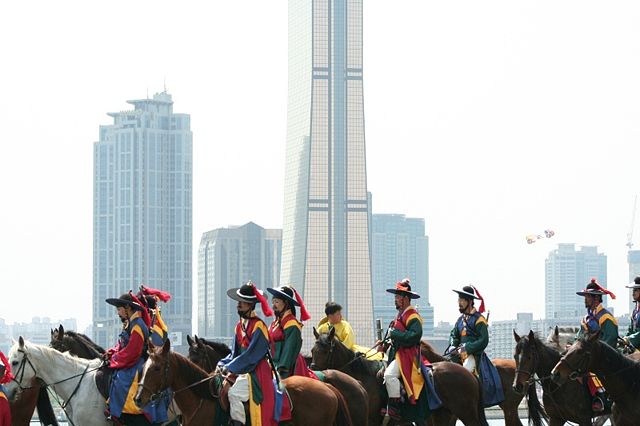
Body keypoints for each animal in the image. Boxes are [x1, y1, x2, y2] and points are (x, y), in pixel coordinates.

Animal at [310, 328, 484, 424]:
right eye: (313, 350)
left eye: (325, 350)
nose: (312, 370)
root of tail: (470, 375)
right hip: (443, 414)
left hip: (466, 413)